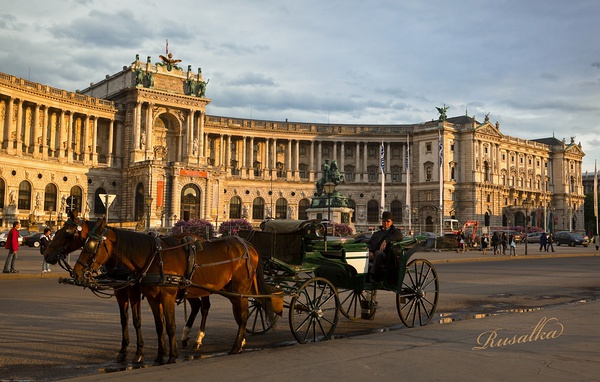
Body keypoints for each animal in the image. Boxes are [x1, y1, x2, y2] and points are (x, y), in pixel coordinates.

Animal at [43, 212, 211, 364]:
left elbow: (137, 321)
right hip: (188, 290)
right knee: (196, 305)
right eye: (58, 231)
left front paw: (139, 353)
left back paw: (198, 339)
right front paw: (123, 351)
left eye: (66, 234)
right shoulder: (120, 292)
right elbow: (124, 320)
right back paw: (186, 335)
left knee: (205, 307)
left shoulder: (134, 292)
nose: (46, 255)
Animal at [73, 218, 282, 364]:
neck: (154, 258)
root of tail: (248, 245)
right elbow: (159, 326)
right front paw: (159, 356)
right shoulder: (152, 297)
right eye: (82, 242)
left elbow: (171, 325)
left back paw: (235, 346)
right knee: (233, 313)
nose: (76, 273)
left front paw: (172, 356)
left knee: (242, 316)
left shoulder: (166, 296)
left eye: (91, 245)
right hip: (228, 289)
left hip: (239, 289)